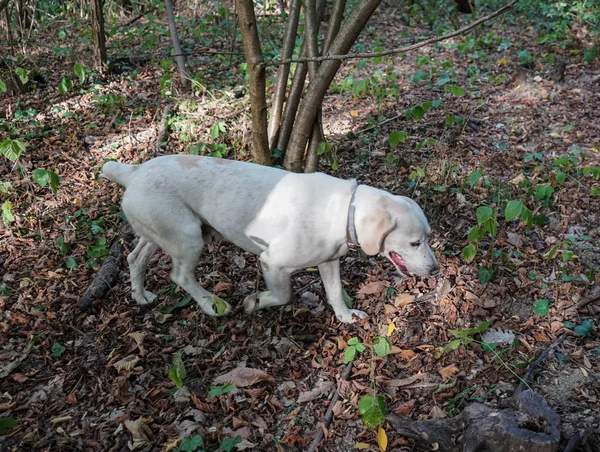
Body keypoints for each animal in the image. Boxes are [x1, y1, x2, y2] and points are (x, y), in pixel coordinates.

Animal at [103, 155, 438, 322]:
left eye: (428, 237)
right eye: (414, 243)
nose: (435, 270)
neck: (344, 210)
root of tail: (132, 172)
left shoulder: (329, 262)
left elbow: (334, 293)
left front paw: (345, 317)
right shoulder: (272, 263)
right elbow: (282, 296)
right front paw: (254, 302)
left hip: (159, 235)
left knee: (134, 258)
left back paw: (140, 296)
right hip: (188, 239)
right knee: (181, 276)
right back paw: (212, 304)